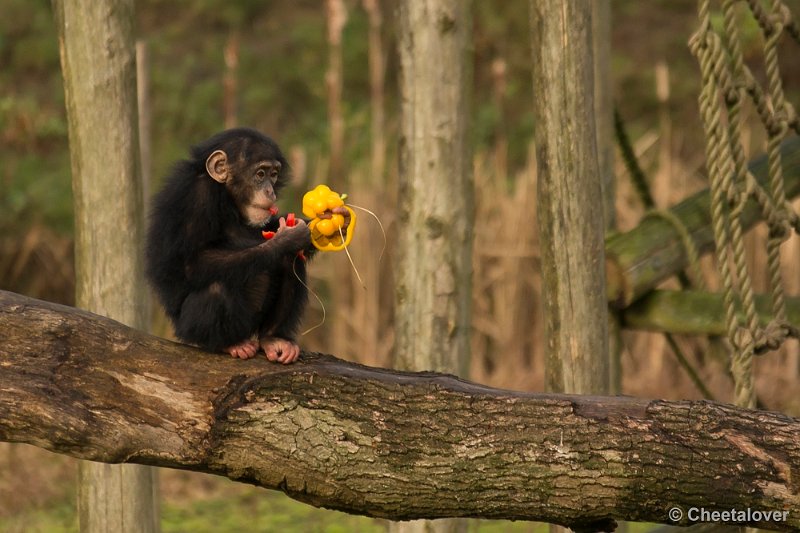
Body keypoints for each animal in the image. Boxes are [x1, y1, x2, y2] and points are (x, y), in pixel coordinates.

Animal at [145, 127, 314, 364]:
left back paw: (274, 338)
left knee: (291, 262)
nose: (270, 191)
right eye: (260, 174)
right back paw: (231, 344)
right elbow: (192, 263)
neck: (225, 194)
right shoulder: (198, 196)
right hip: (190, 329)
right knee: (217, 289)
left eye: (273, 174)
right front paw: (287, 239)